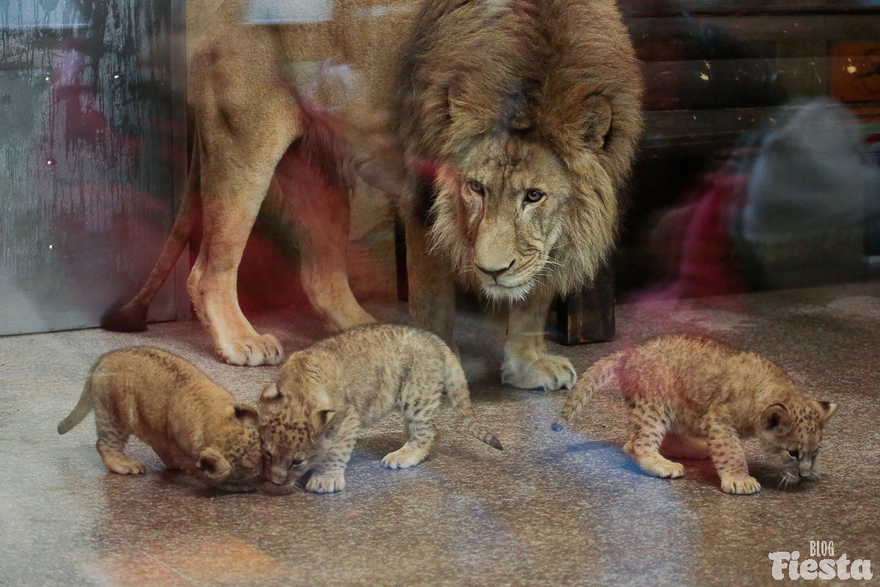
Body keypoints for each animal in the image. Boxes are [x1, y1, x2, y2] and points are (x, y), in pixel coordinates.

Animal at [396, 0, 644, 390]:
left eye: (534, 196)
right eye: (476, 187)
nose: (492, 271)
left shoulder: (549, 241)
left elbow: (533, 299)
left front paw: (527, 365)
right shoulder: (421, 200)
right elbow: (431, 300)